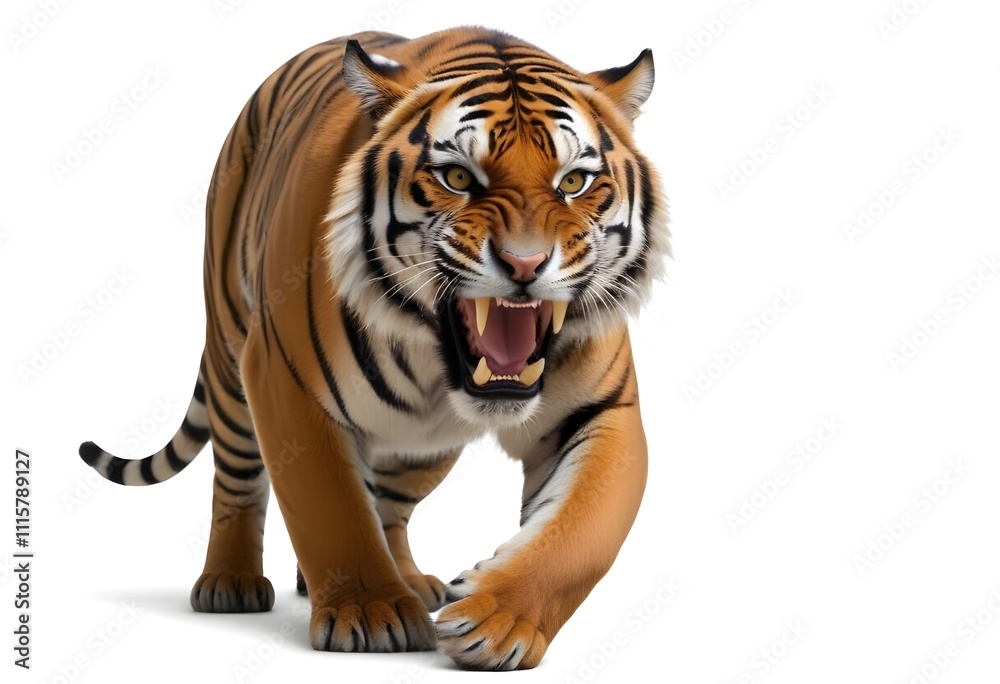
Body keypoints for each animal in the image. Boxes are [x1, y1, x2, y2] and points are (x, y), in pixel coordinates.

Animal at [79, 26, 669, 670]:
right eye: (458, 178)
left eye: (573, 182)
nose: (525, 263)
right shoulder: (284, 382)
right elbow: (332, 511)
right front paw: (370, 614)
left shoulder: (602, 410)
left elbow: (579, 535)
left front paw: (497, 621)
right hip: (232, 359)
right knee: (237, 480)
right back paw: (230, 584)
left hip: (425, 446)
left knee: (389, 504)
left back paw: (408, 579)